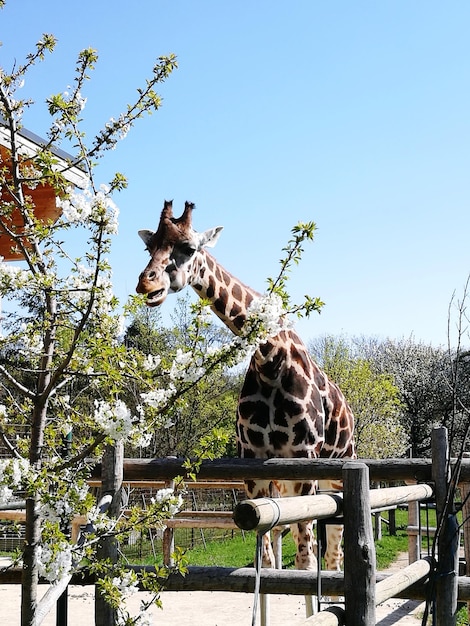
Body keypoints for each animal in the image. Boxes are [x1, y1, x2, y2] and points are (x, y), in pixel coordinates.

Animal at [136, 200, 356, 572]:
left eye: (189, 247)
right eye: (149, 248)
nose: (146, 284)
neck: (270, 358)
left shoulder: (304, 459)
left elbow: (305, 560)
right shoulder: (253, 465)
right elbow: (265, 559)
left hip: (336, 470)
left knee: (333, 554)